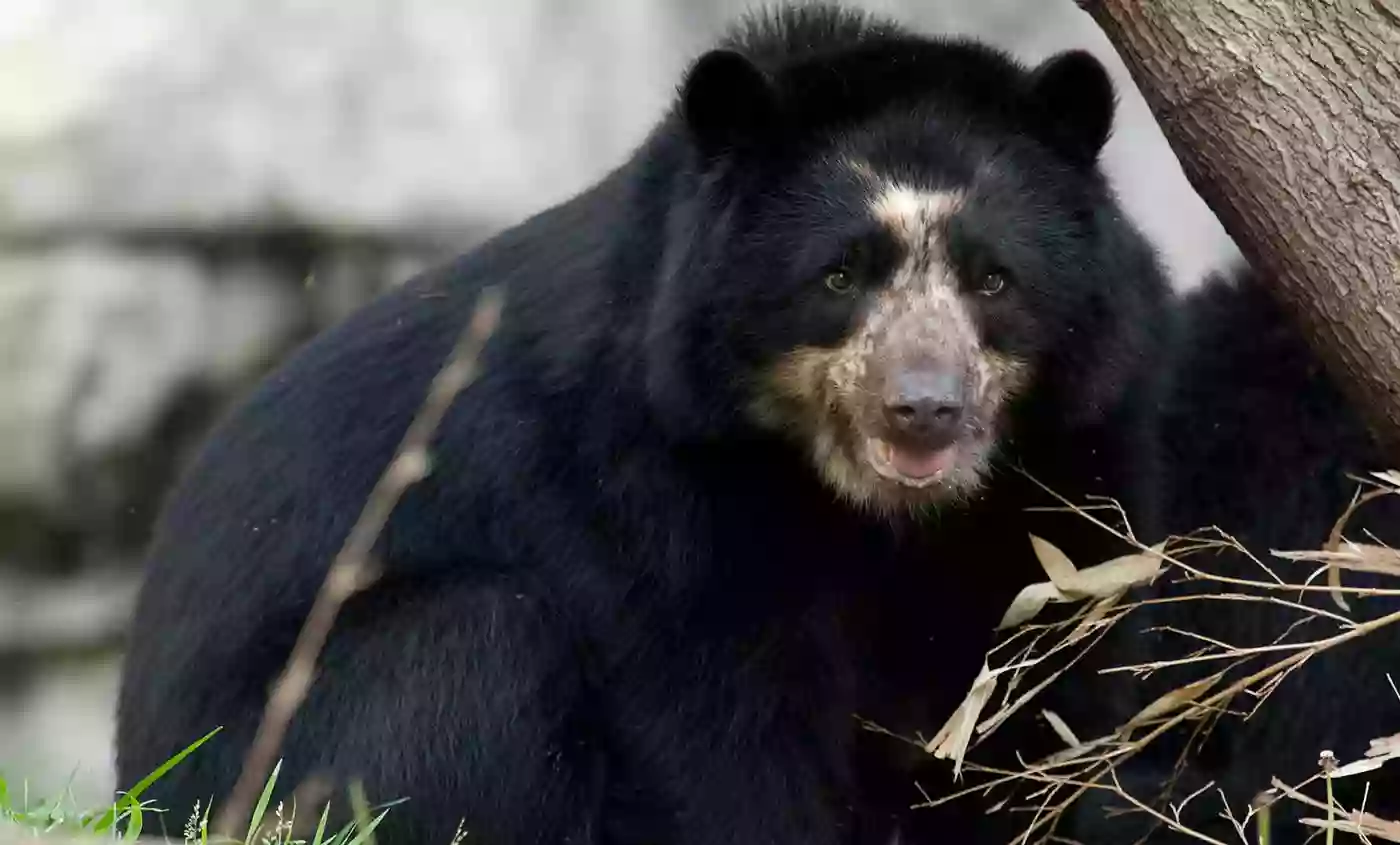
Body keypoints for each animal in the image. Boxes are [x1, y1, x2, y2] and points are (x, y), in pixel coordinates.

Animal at [114, 6, 1176, 845]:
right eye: (839, 275)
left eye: (994, 279)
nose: (923, 408)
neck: (867, 503)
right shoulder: (637, 469)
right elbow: (715, 723)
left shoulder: (1070, 449)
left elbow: (1031, 678)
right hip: (284, 745)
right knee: (471, 648)